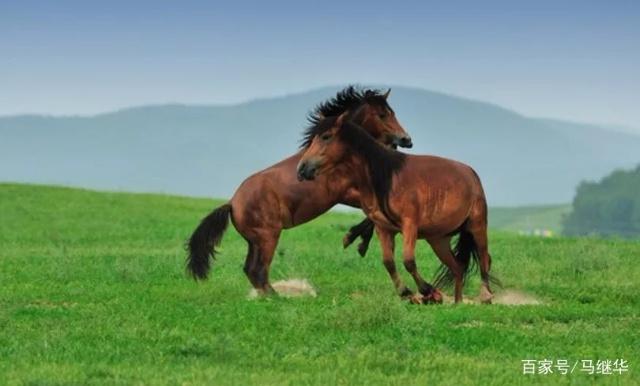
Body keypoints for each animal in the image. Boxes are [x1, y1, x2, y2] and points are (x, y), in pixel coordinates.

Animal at [188, 86, 412, 294]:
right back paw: (277, 297)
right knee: (258, 270)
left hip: (255, 241)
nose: (406, 140)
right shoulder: (348, 193)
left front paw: (358, 241)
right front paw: (354, 240)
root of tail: (232, 204)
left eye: (391, 112)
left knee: (251, 270)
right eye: (382, 114)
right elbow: (373, 214)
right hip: (268, 237)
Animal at [298, 114, 498, 304]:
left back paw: (486, 297)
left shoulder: (409, 225)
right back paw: (457, 304)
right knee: (458, 267)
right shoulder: (384, 229)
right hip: (438, 240)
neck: (387, 178)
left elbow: (408, 261)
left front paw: (429, 293)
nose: (302, 169)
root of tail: (471, 173)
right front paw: (407, 293)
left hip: (477, 226)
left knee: (484, 258)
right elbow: (388, 262)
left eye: (326, 136)